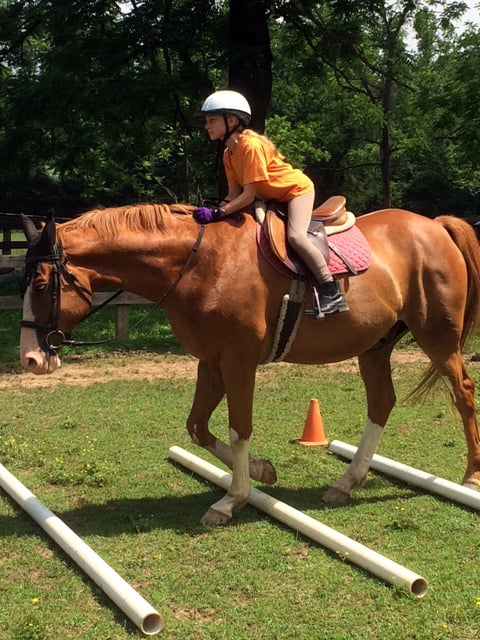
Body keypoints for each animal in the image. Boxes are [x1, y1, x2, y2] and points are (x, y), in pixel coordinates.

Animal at [19, 203, 480, 526]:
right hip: (375, 347)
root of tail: (434, 224)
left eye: (41, 285)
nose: (30, 359)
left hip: (438, 340)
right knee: (381, 403)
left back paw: (470, 476)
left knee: (463, 394)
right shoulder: (211, 362)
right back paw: (347, 483)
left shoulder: (239, 363)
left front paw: (232, 500)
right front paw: (263, 471)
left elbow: (238, 428)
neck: (200, 263)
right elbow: (197, 427)